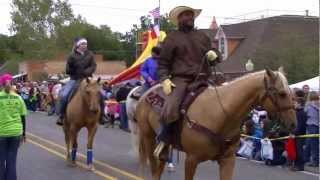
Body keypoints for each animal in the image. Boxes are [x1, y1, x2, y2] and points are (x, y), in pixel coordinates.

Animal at [134, 68, 296, 180]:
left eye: (291, 93)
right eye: (282, 93)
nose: (294, 124)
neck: (220, 113)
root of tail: (146, 94)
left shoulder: (228, 160)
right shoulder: (191, 160)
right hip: (148, 138)